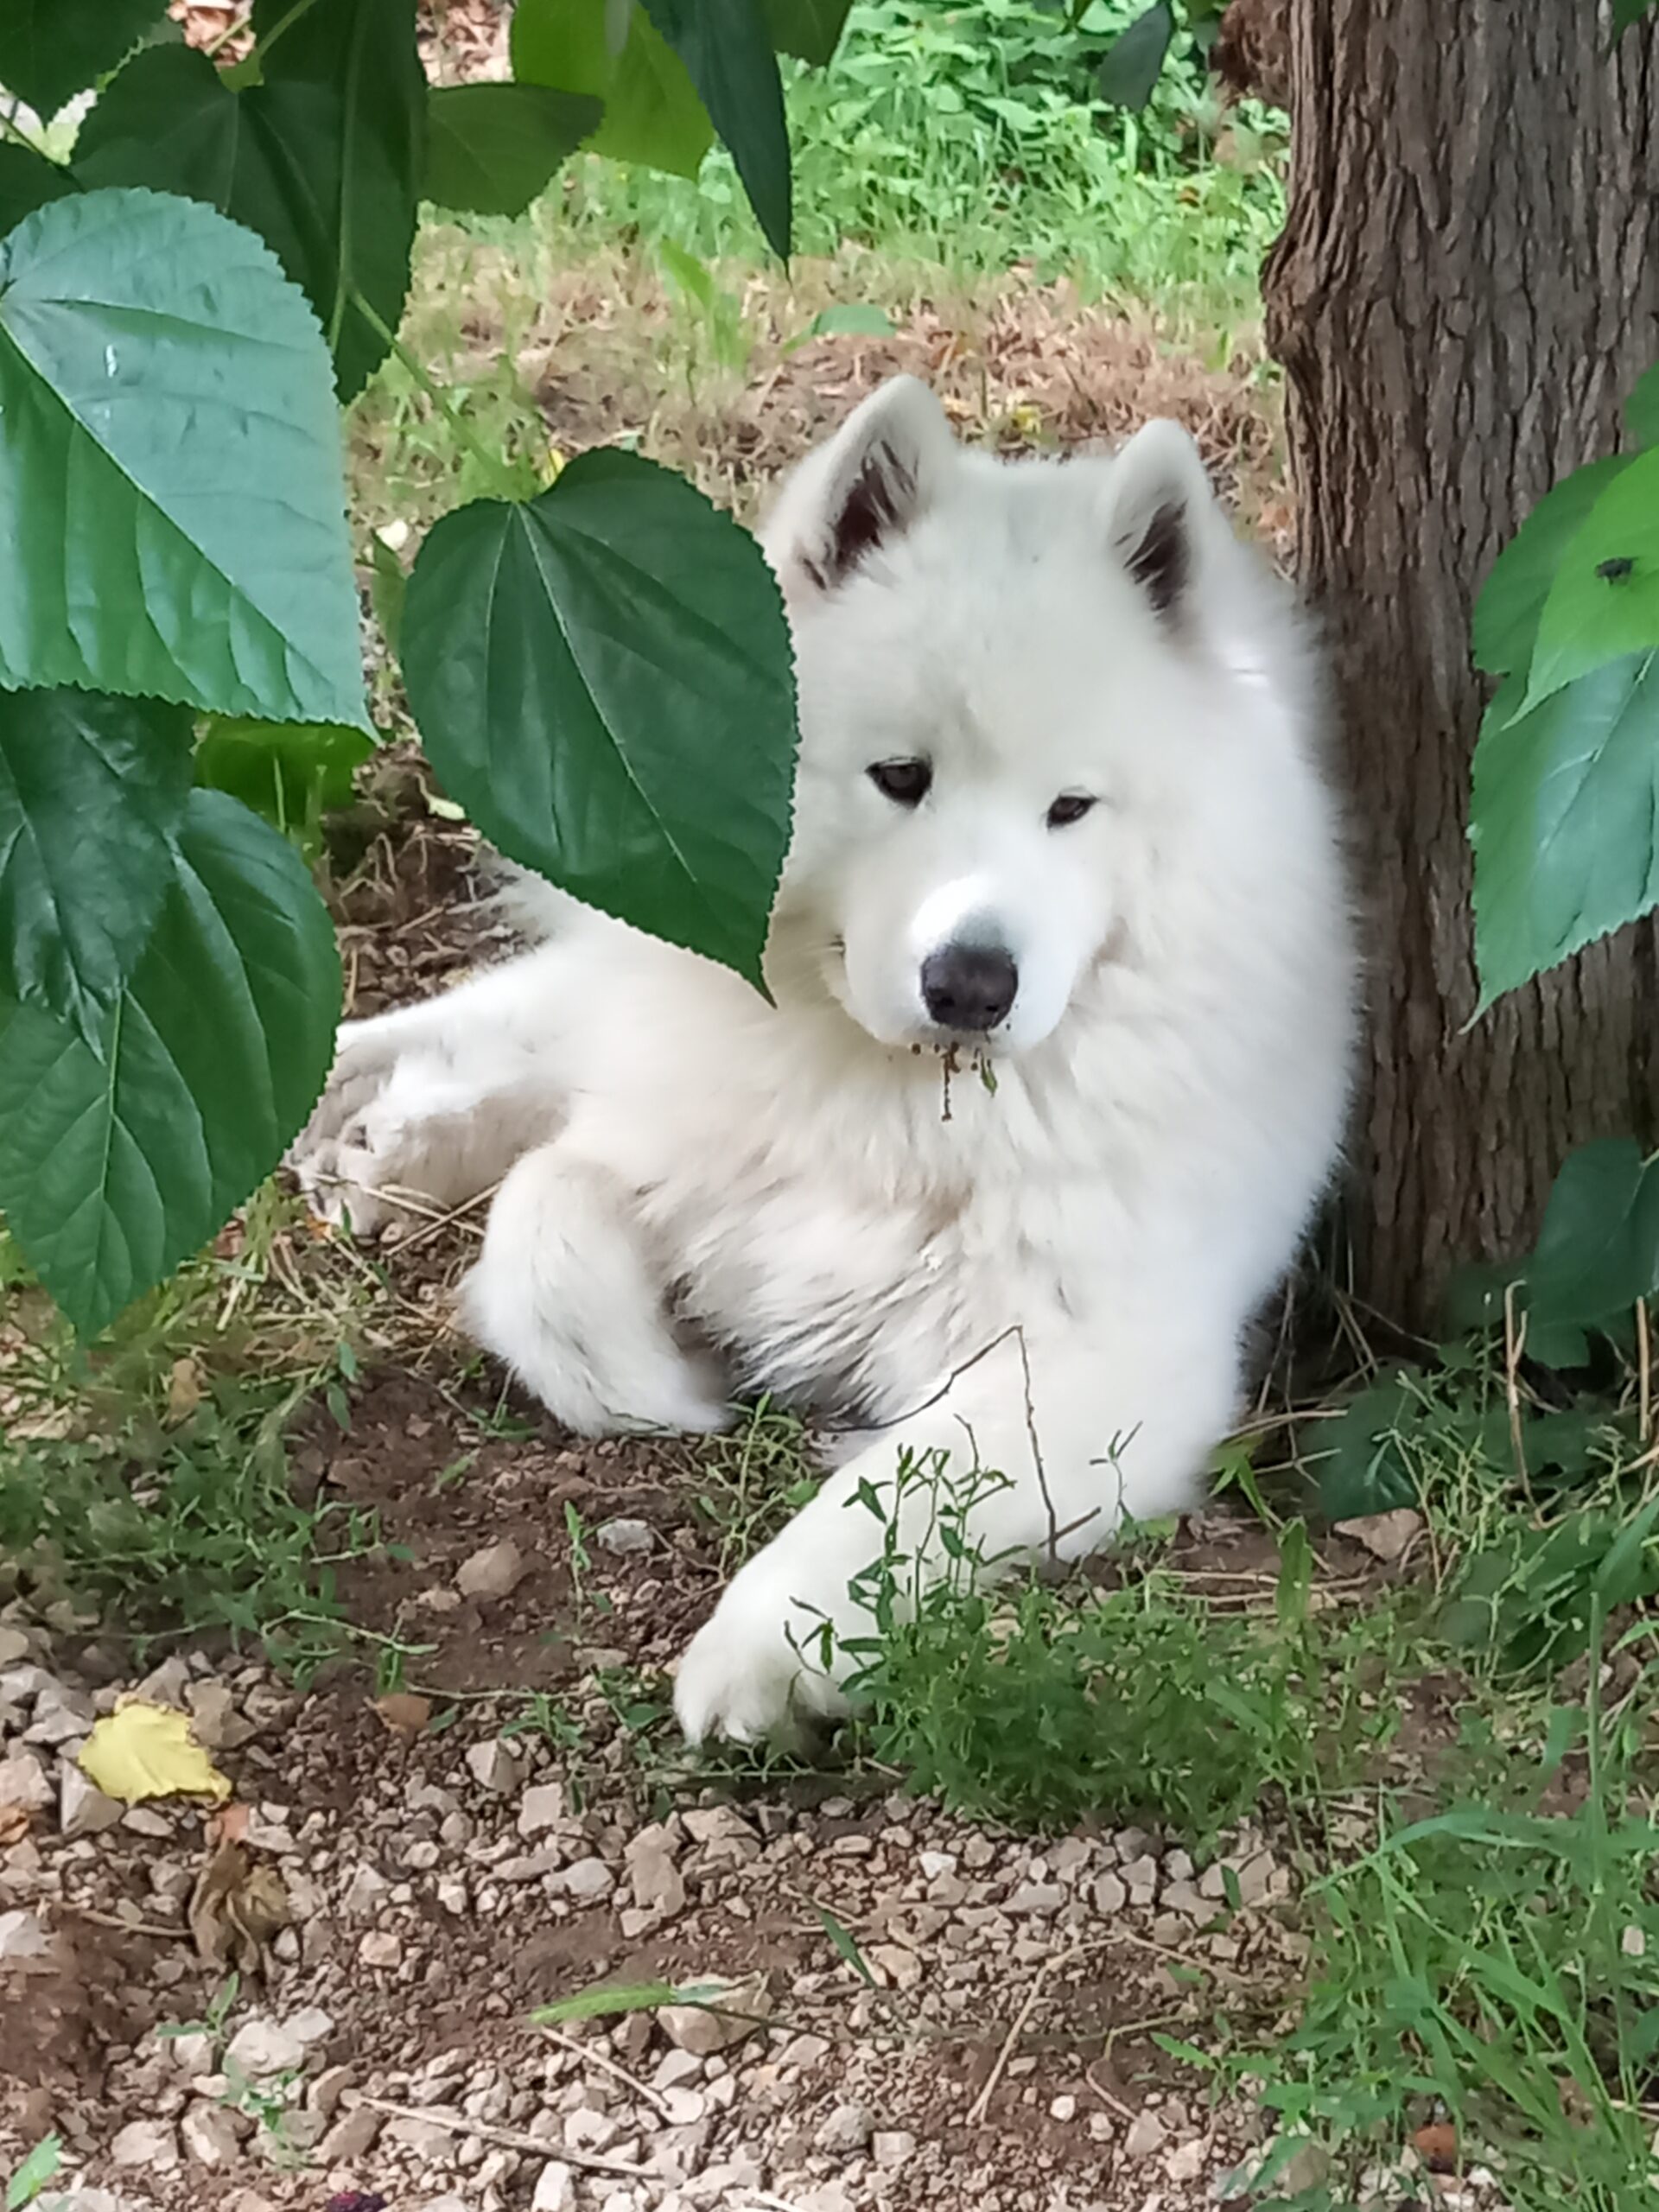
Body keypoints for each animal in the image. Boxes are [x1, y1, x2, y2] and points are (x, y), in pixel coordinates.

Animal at [296, 376, 1362, 1743]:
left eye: (1072, 808)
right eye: (899, 777)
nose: (974, 984)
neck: (893, 1097)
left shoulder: (1105, 1358)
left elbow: (895, 1490)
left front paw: (768, 1645)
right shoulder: (681, 1147)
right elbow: (544, 1226)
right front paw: (659, 1377)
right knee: (536, 1017)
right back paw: (361, 1117)